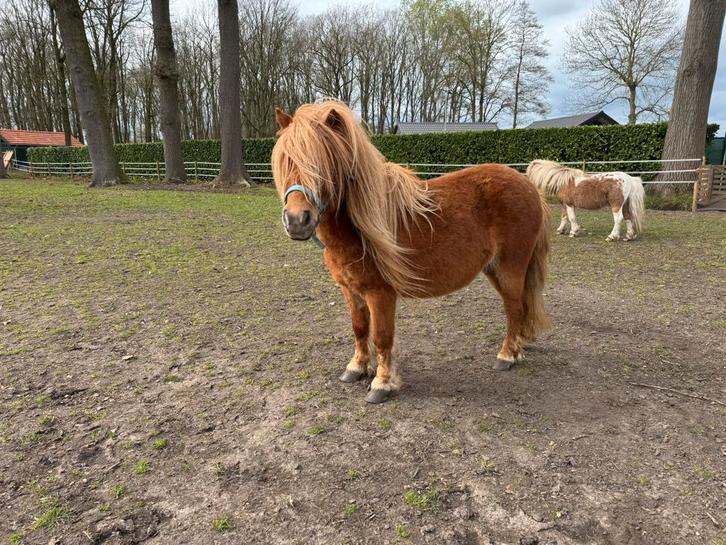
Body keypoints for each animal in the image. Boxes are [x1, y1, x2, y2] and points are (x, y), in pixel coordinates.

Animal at [271, 100, 551, 403]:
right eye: (286, 160)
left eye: (324, 163)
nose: (297, 220)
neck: (359, 231)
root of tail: (529, 186)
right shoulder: (349, 290)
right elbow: (359, 328)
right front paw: (356, 368)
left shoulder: (380, 294)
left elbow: (382, 336)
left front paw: (382, 383)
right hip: (494, 270)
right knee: (520, 308)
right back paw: (519, 347)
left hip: (511, 267)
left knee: (514, 307)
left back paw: (507, 355)